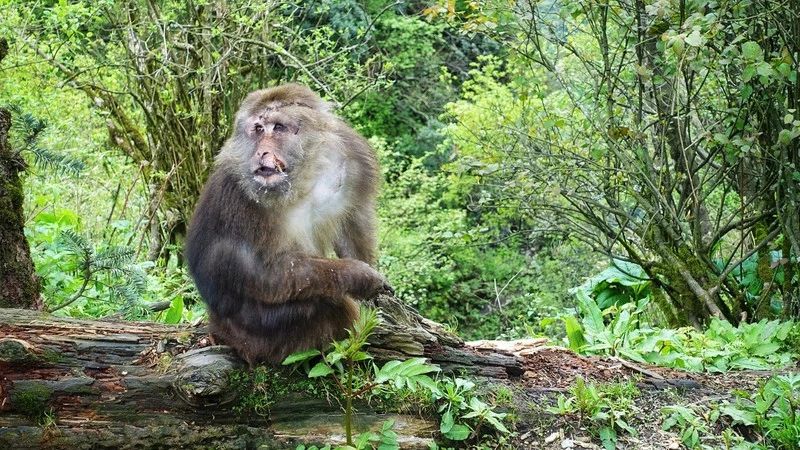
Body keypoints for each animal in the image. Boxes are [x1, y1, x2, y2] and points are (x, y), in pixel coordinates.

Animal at [184, 83, 390, 366]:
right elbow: (262, 272)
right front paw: (361, 276)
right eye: (258, 129)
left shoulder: (352, 154)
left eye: (278, 127)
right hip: (258, 339)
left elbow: (354, 221)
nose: (261, 152)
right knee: (327, 302)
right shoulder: (236, 194)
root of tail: (218, 329)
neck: (305, 175)